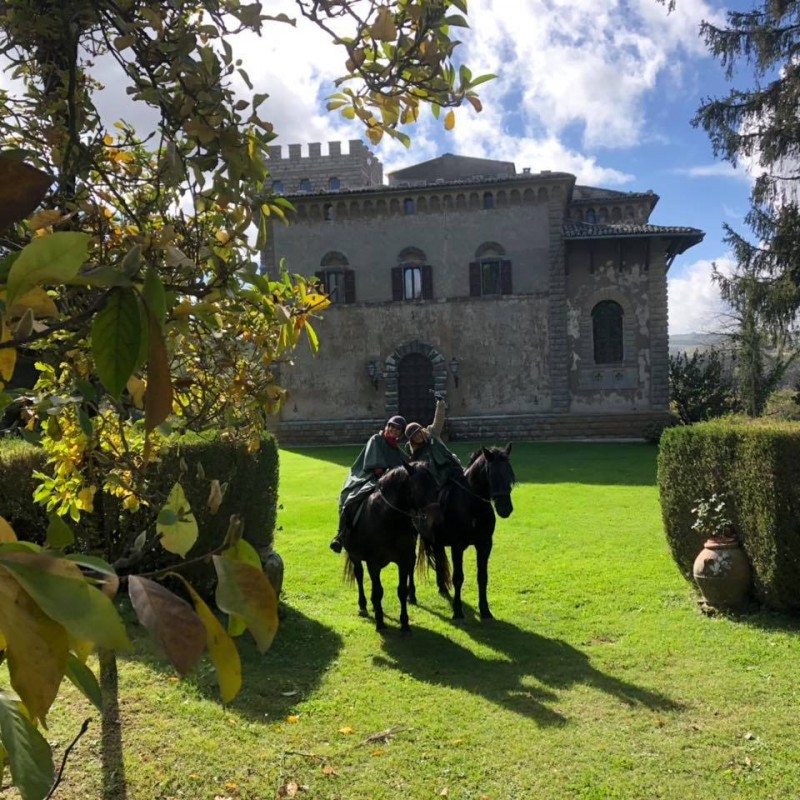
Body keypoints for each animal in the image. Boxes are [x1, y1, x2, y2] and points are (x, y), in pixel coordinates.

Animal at [346, 460, 444, 636]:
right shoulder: (373, 563)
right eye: (419, 488)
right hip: (354, 556)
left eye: (436, 488)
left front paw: (404, 623)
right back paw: (363, 605)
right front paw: (380, 622)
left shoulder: (404, 560)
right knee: (359, 575)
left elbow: (401, 590)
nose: (437, 520)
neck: (387, 519)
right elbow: (378, 592)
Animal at [422, 446, 516, 620]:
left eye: (509, 473)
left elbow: (483, 577)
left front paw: (485, 610)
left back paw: (442, 587)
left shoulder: (485, 545)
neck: (472, 505)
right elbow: (458, 578)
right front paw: (458, 611)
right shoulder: (457, 546)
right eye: (492, 474)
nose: (506, 508)